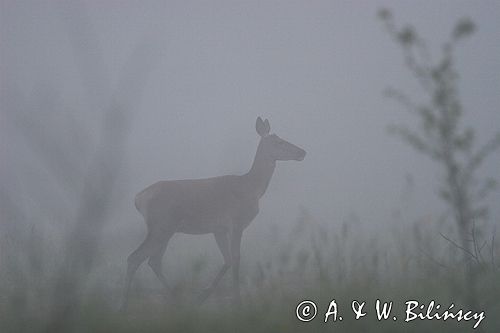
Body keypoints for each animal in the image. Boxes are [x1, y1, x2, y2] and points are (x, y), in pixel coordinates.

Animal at [121, 116, 306, 308]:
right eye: (279, 142)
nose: (303, 152)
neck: (252, 188)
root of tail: (138, 198)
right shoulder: (236, 223)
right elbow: (236, 258)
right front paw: (237, 300)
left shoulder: (219, 229)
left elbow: (228, 260)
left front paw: (203, 295)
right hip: (162, 226)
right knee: (135, 257)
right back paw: (123, 304)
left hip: (165, 229)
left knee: (153, 261)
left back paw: (177, 300)